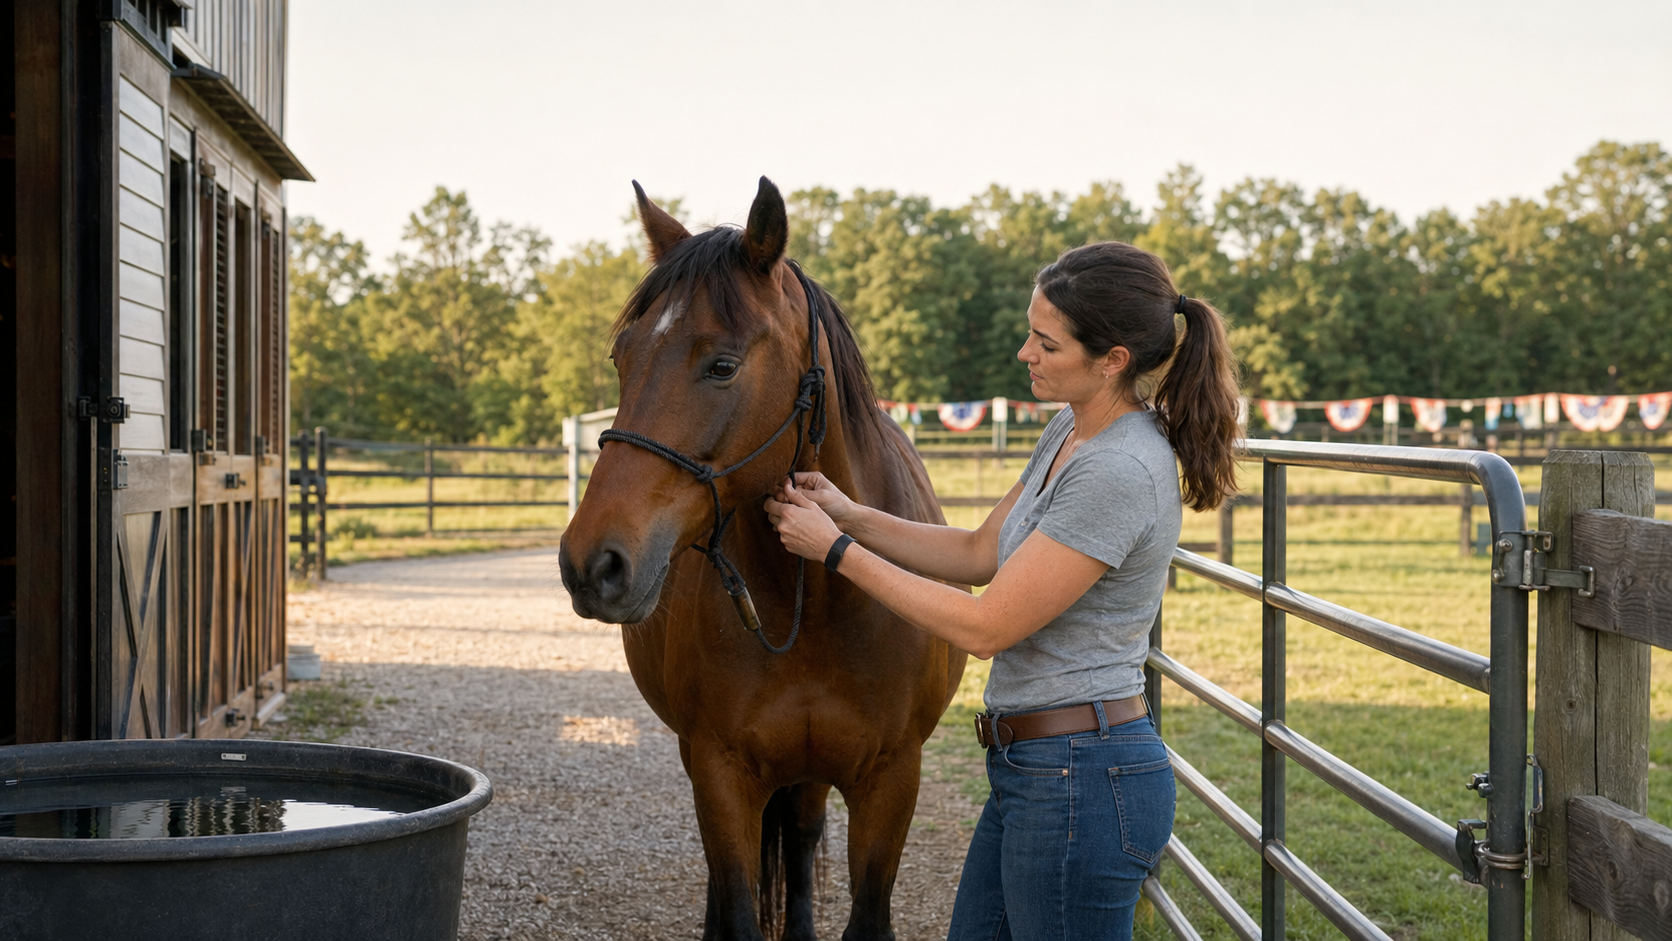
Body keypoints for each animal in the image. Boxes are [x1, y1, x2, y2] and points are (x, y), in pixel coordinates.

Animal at [559, 177, 966, 941]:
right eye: (623, 359)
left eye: (722, 364)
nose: (591, 564)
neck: (815, 604)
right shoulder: (720, 773)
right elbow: (738, 903)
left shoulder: (892, 779)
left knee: (801, 839)